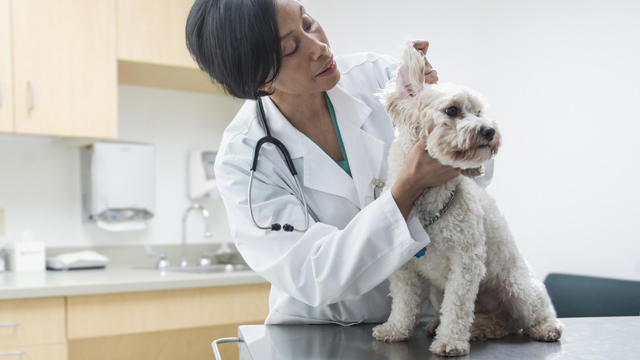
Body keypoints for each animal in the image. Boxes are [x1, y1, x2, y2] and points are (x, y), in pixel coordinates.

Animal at [372, 43, 564, 358]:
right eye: (452, 110)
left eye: (478, 111)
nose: (489, 130)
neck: (430, 202)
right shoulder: (404, 268)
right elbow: (403, 302)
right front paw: (395, 329)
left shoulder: (466, 263)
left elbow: (458, 307)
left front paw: (450, 341)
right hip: (443, 293)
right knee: (496, 322)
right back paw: (461, 327)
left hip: (517, 287)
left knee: (531, 314)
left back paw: (546, 328)